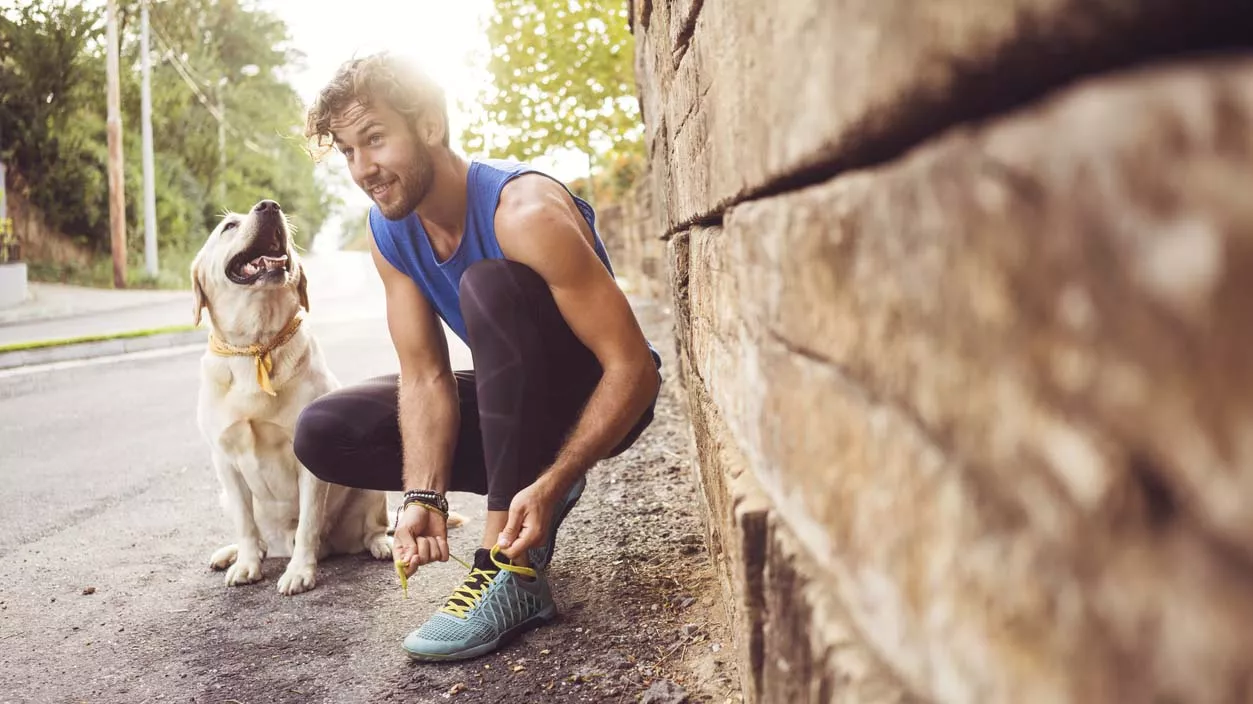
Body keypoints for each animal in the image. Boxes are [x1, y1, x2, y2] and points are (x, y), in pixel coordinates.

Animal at [190, 197, 390, 591]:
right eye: (228, 227)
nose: (269, 206)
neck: (256, 345)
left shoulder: (307, 462)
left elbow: (309, 522)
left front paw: (300, 571)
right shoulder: (224, 461)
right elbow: (246, 523)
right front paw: (247, 563)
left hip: (370, 487)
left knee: (373, 528)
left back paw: (381, 545)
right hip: (224, 495)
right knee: (258, 536)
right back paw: (233, 553)